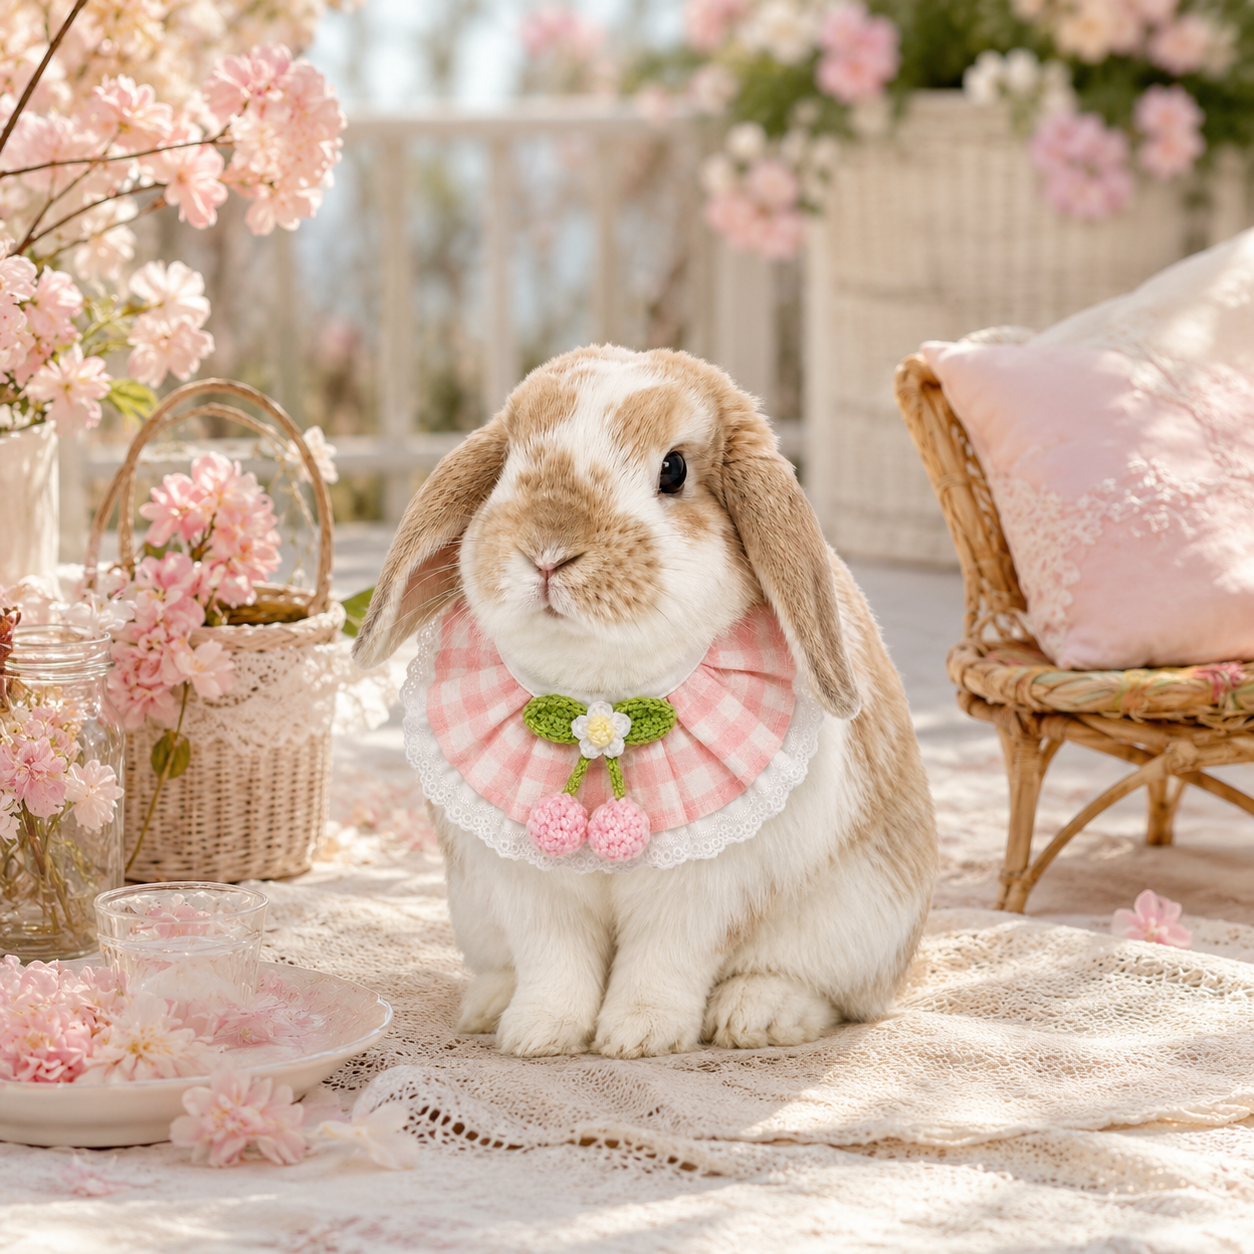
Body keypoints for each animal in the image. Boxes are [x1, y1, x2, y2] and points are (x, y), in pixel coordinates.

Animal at [352, 345, 937, 1059]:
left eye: (674, 468)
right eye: (510, 459)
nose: (548, 551)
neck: (596, 704)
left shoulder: (697, 893)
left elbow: (663, 959)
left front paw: (639, 1035)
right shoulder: (529, 887)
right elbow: (555, 961)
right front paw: (538, 1035)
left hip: (855, 924)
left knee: (829, 992)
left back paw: (758, 1015)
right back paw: (489, 1006)